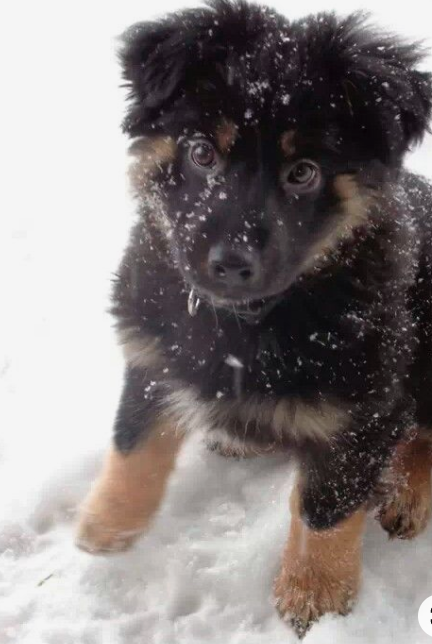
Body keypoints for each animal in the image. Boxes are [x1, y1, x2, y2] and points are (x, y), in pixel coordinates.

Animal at [77, 0, 432, 632]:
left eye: (303, 172)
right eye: (201, 153)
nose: (229, 264)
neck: (249, 321)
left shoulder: (361, 410)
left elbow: (325, 509)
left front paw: (315, 596)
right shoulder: (153, 350)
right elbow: (133, 439)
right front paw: (108, 523)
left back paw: (407, 492)